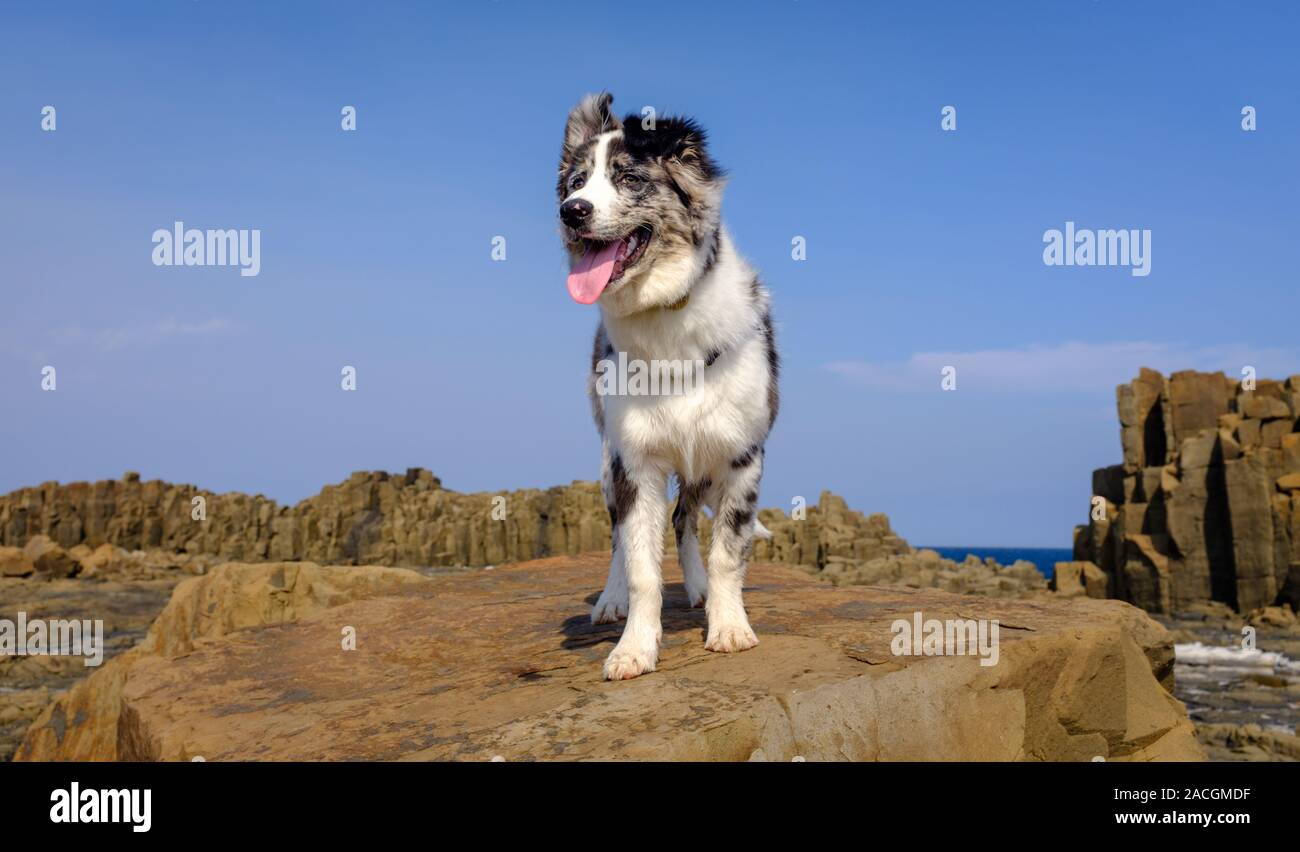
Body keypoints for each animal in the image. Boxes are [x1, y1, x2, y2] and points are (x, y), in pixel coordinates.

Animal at [553, 93, 774, 681]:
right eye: (576, 182)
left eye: (628, 178)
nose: (572, 211)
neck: (667, 314)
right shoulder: (638, 463)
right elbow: (640, 567)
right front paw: (634, 647)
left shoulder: (740, 457)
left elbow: (727, 553)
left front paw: (729, 627)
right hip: (608, 464)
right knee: (617, 537)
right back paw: (611, 601)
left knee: (684, 519)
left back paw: (699, 590)